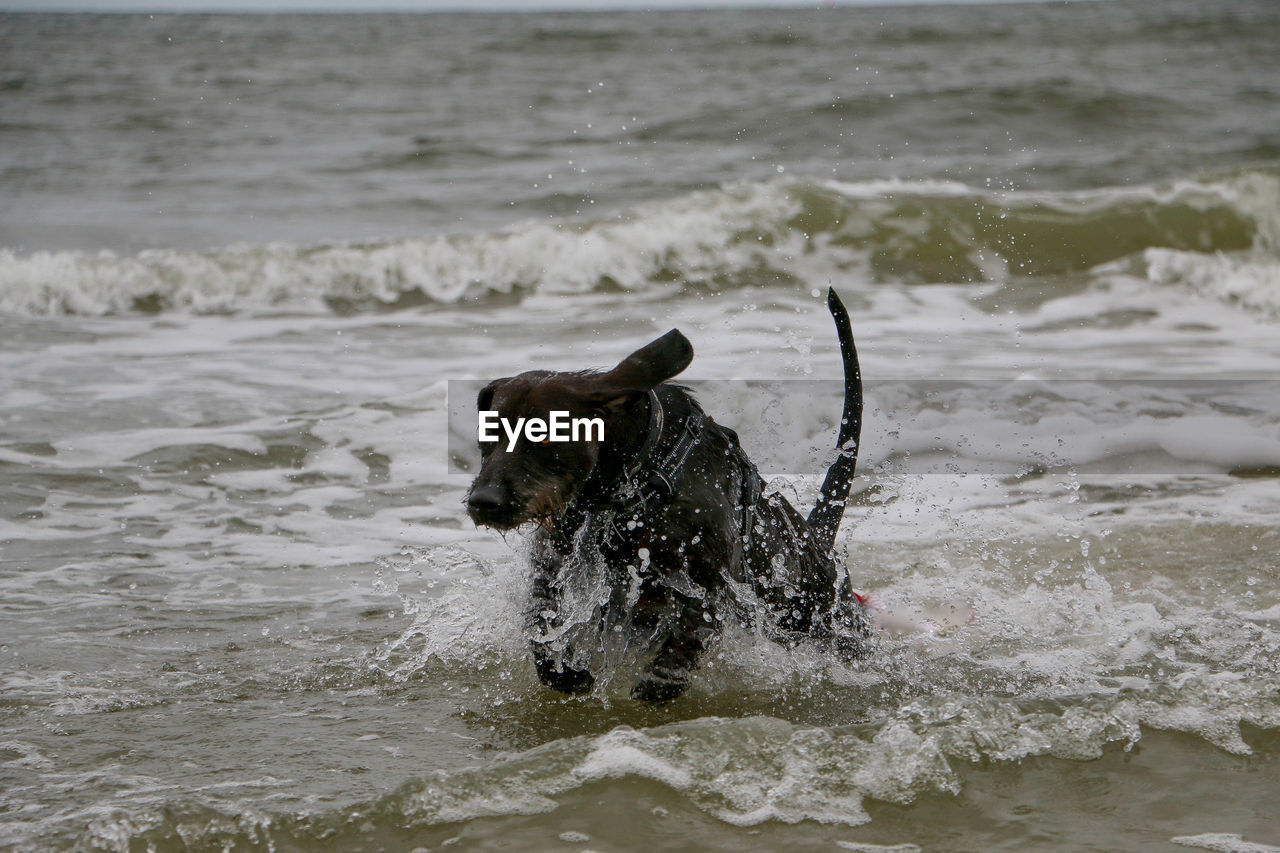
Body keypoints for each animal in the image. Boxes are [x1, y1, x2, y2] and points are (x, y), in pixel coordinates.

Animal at [465, 285, 875, 696]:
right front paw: (560, 668)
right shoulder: (555, 560)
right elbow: (540, 615)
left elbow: (697, 620)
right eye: (489, 434)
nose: (484, 502)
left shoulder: (714, 574)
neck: (634, 487)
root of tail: (820, 546)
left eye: (546, 435)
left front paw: (664, 678)